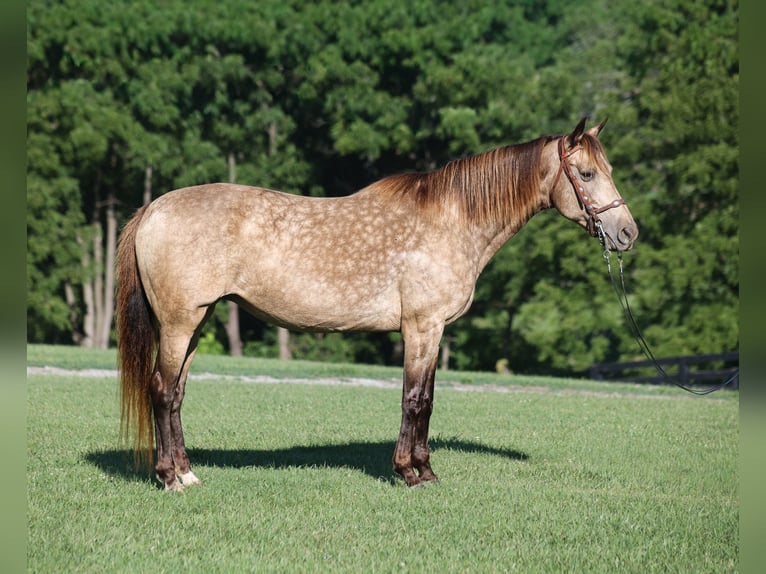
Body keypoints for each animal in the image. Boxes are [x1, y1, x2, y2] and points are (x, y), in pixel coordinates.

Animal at [116, 117, 638, 491]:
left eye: (609, 171)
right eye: (587, 173)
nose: (628, 233)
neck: (451, 220)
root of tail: (154, 208)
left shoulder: (432, 331)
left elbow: (426, 398)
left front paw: (424, 469)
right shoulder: (423, 327)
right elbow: (415, 399)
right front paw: (410, 472)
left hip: (196, 323)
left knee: (177, 393)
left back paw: (187, 472)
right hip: (179, 323)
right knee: (161, 390)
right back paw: (169, 478)